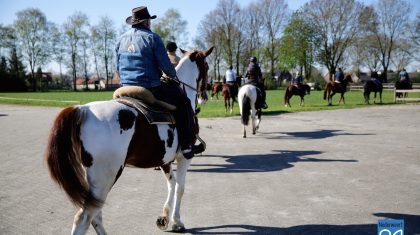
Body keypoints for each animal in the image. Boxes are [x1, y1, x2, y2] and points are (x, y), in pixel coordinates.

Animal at [45, 46, 213, 234]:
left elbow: (172, 183)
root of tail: (83, 110)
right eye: (207, 66)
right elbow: (180, 188)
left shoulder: (165, 160)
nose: (205, 96)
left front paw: (164, 218)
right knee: (84, 218)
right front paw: (177, 222)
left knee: (95, 215)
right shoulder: (184, 157)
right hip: (106, 177)